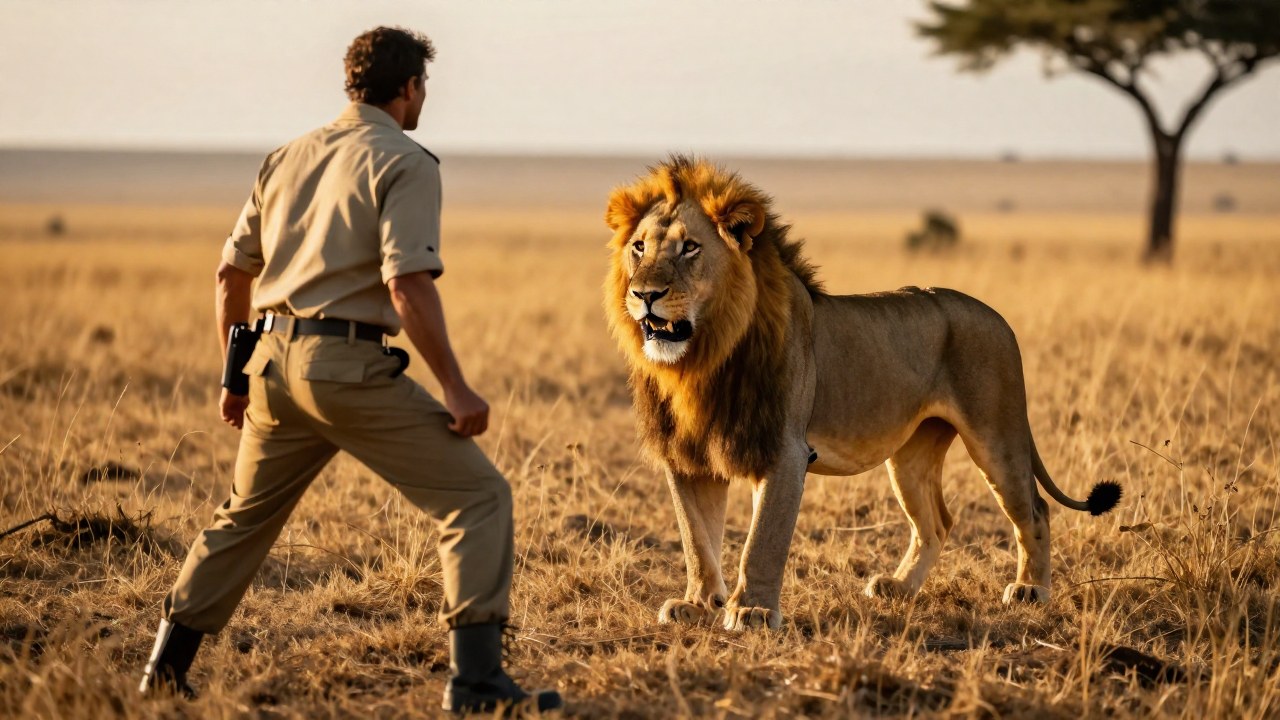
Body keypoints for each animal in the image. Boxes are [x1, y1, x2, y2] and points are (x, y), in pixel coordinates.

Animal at [603, 156, 1121, 631]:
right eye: (639, 247)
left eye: (690, 248)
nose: (644, 295)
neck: (700, 361)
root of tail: (998, 317)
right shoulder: (689, 455)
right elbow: (697, 538)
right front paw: (697, 604)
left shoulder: (785, 450)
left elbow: (762, 541)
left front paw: (752, 610)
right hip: (912, 454)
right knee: (936, 523)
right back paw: (898, 588)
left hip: (997, 434)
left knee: (1034, 510)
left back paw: (1031, 589)